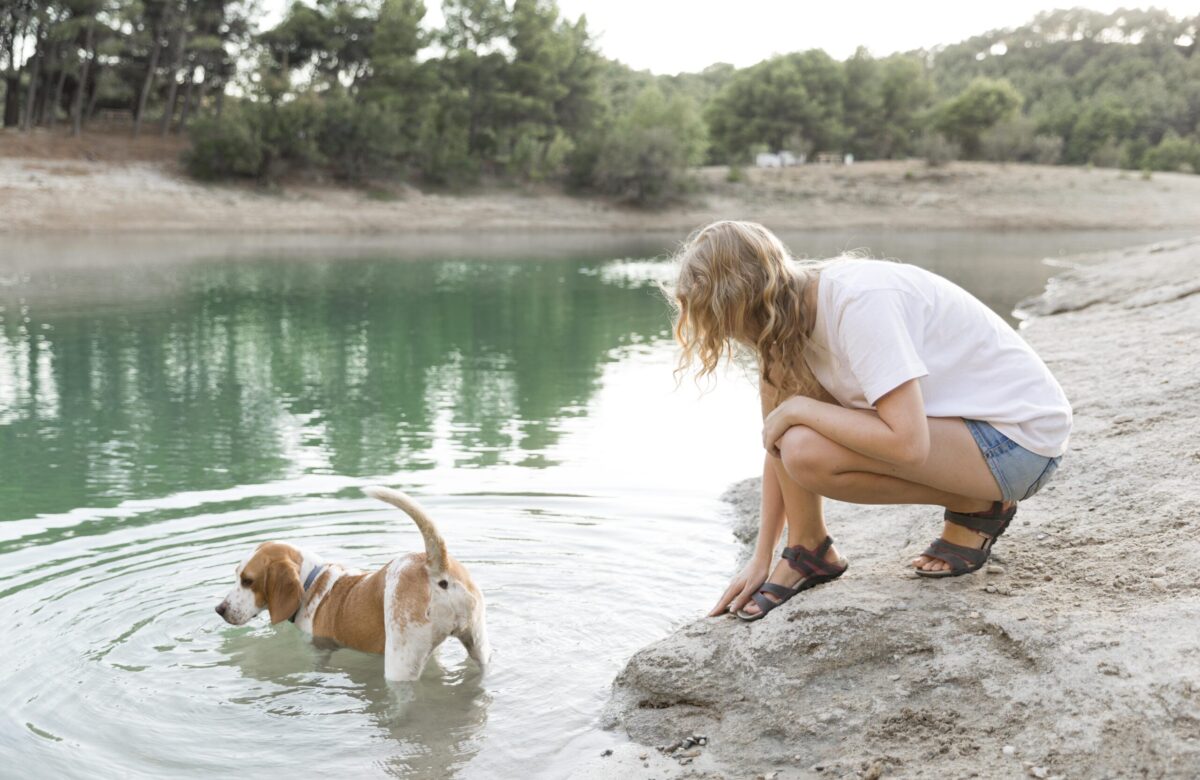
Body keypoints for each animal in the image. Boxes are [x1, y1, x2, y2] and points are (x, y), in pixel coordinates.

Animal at [214, 482, 487, 676]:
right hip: (479, 647)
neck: (310, 583)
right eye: (237, 575)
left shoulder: (316, 649)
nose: (219, 609)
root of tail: (433, 564)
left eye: (247, 580)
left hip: (400, 663)